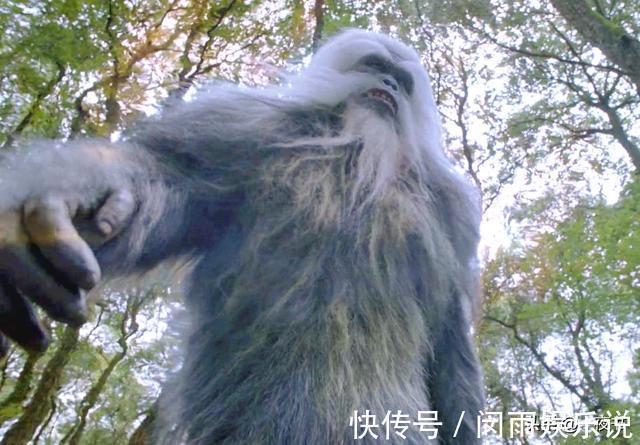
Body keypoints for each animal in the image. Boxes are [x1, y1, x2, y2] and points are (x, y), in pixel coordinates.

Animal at [0, 30, 483, 444]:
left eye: (402, 80)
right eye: (375, 65)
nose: (389, 84)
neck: (360, 158)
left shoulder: (452, 219)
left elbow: (447, 329)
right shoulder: (242, 132)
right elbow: (163, 176)